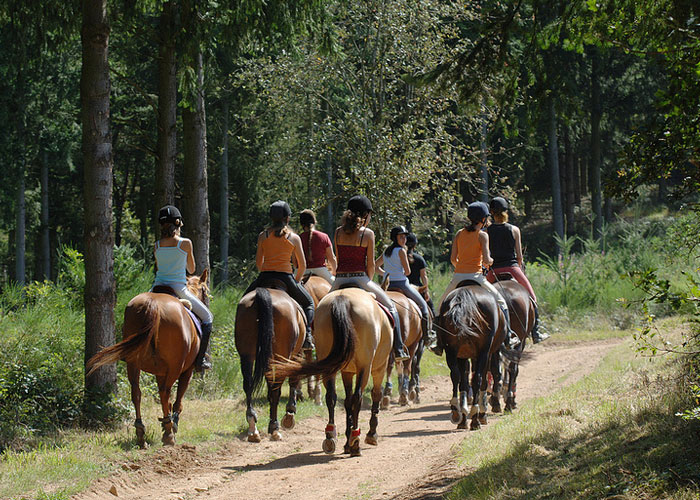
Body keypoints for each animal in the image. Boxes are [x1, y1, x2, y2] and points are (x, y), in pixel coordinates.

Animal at [86, 270, 209, 450]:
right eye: (205, 291)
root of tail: (153, 305)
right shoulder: (187, 371)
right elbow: (178, 400)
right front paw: (172, 424)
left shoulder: (160, 372)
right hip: (175, 367)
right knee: (165, 392)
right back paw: (169, 434)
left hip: (133, 363)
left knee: (136, 392)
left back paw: (141, 434)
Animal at [234, 286, 304, 442]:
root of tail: (264, 293)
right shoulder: (295, 356)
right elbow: (292, 381)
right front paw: (290, 413)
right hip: (282, 357)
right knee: (276, 389)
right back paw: (274, 427)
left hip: (246, 355)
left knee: (248, 384)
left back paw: (253, 427)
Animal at [270, 290, 394, 458]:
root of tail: (342, 298)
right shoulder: (378, 368)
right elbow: (374, 396)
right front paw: (370, 435)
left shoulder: (347, 372)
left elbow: (347, 401)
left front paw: (347, 442)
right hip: (365, 366)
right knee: (358, 398)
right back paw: (356, 441)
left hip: (330, 363)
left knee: (331, 397)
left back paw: (331, 436)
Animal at [434, 282, 506, 430]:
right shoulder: (486, 353)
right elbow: (483, 379)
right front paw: (482, 414)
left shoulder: (462, 355)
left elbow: (463, 381)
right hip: (483, 352)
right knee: (477, 379)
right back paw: (475, 418)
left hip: (452, 352)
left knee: (456, 376)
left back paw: (457, 413)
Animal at [486, 276, 536, 412]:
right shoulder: (521, 342)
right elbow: (513, 368)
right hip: (518, 342)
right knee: (512, 368)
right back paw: (509, 401)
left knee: (496, 369)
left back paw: (496, 400)